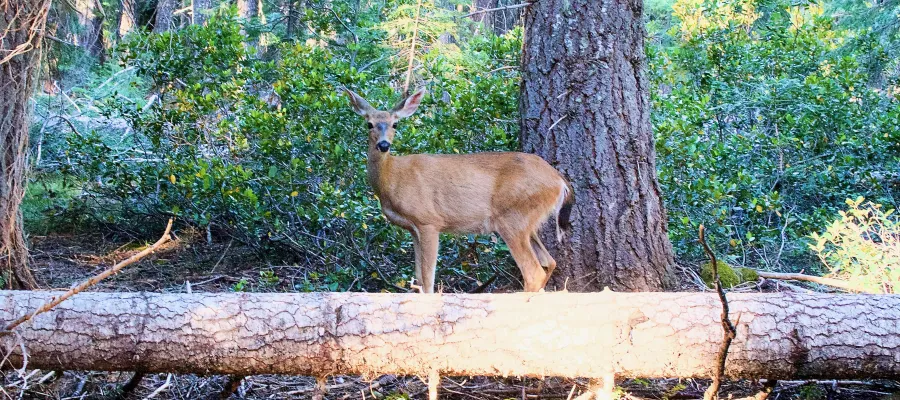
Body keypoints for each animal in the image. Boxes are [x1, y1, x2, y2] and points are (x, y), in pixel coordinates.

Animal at [344, 87, 574, 293]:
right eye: (369, 124)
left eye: (395, 124)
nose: (384, 145)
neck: (392, 177)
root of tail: (560, 181)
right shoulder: (413, 228)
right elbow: (419, 278)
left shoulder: (428, 220)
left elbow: (428, 281)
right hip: (527, 222)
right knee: (549, 262)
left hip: (513, 217)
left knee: (533, 272)